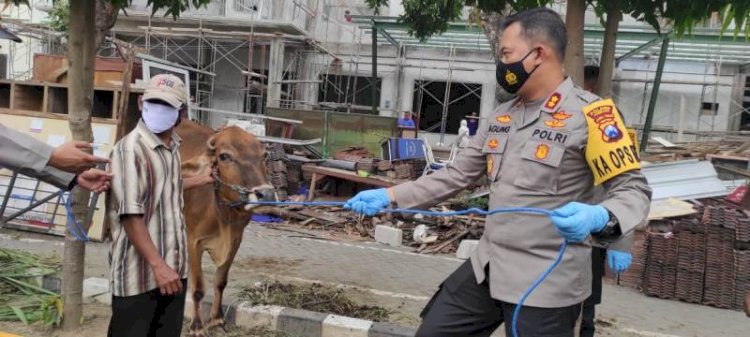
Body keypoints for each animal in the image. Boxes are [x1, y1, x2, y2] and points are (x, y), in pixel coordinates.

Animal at [177, 119, 276, 334]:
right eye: (224, 156)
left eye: (264, 155)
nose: (266, 194)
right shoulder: (193, 242)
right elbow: (198, 289)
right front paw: (197, 326)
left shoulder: (236, 241)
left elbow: (220, 281)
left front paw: (217, 319)